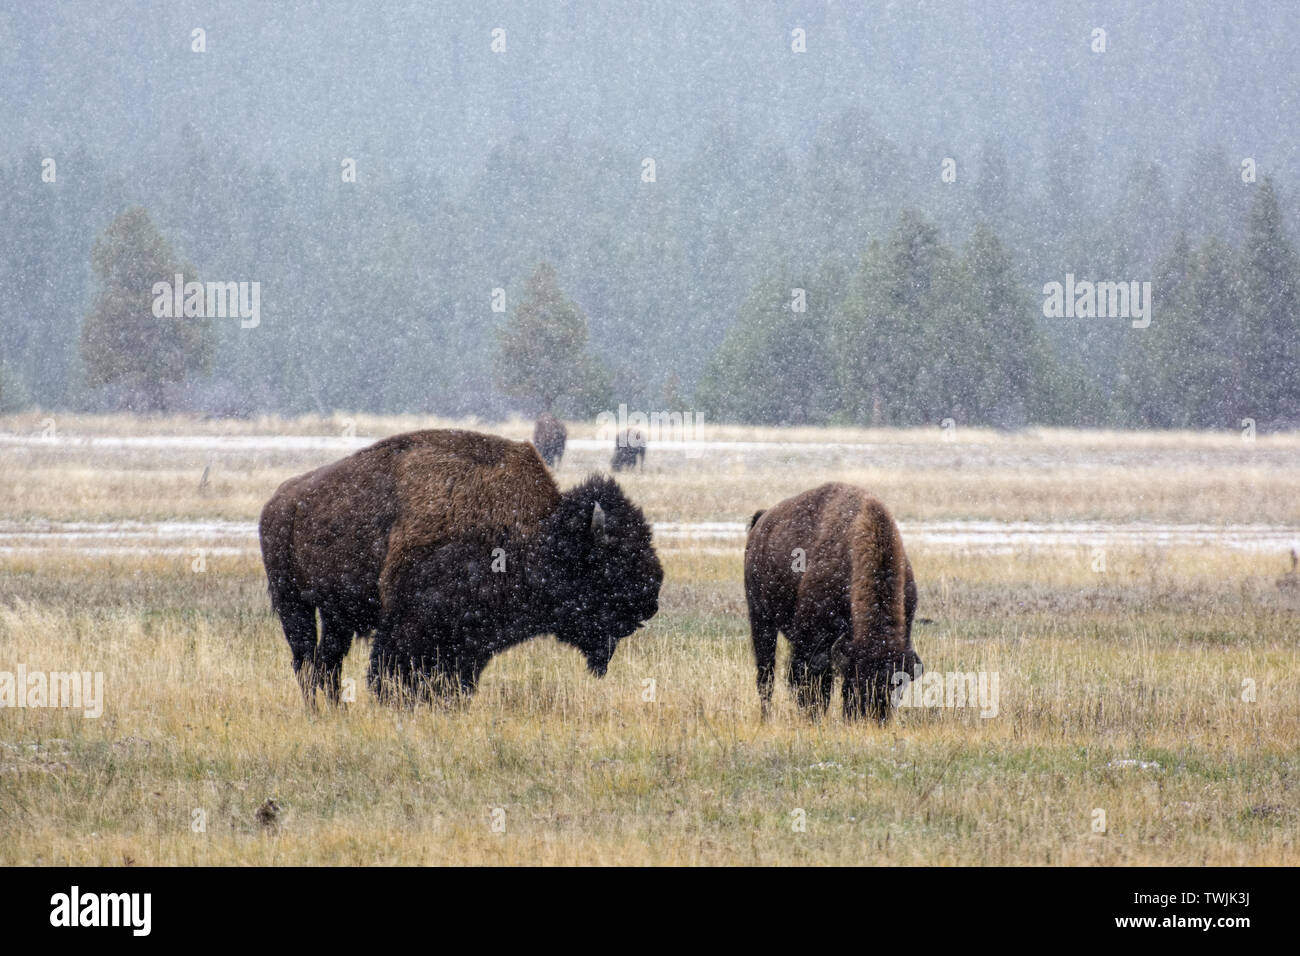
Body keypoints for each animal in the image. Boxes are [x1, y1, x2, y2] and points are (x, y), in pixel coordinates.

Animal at [744, 483, 920, 722]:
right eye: (858, 679)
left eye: (898, 685)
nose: (876, 717)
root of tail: (761, 521)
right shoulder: (814, 640)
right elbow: (813, 684)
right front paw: (812, 716)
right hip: (761, 619)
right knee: (766, 675)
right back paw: (766, 716)